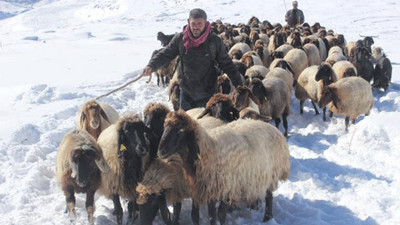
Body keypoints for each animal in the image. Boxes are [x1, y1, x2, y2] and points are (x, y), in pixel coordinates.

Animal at [157, 110, 290, 224]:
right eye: (164, 127)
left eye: (180, 131)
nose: (161, 151)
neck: (209, 152)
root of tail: (271, 127)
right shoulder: (208, 190)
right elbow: (209, 216)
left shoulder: (229, 188)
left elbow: (220, 214)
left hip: (271, 173)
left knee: (269, 196)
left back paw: (267, 217)